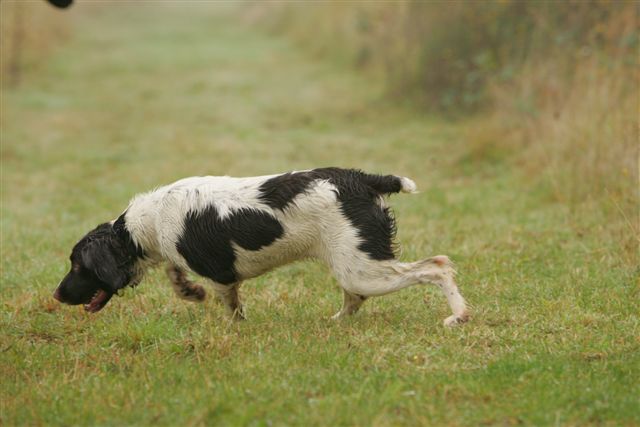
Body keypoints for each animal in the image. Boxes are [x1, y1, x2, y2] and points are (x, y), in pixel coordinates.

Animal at [52, 166, 468, 324]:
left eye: (78, 267)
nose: (56, 295)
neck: (144, 226)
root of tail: (363, 179)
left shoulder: (223, 276)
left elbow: (230, 305)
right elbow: (176, 271)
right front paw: (188, 290)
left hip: (362, 267)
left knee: (438, 265)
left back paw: (458, 316)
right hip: (351, 262)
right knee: (354, 297)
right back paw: (335, 322)